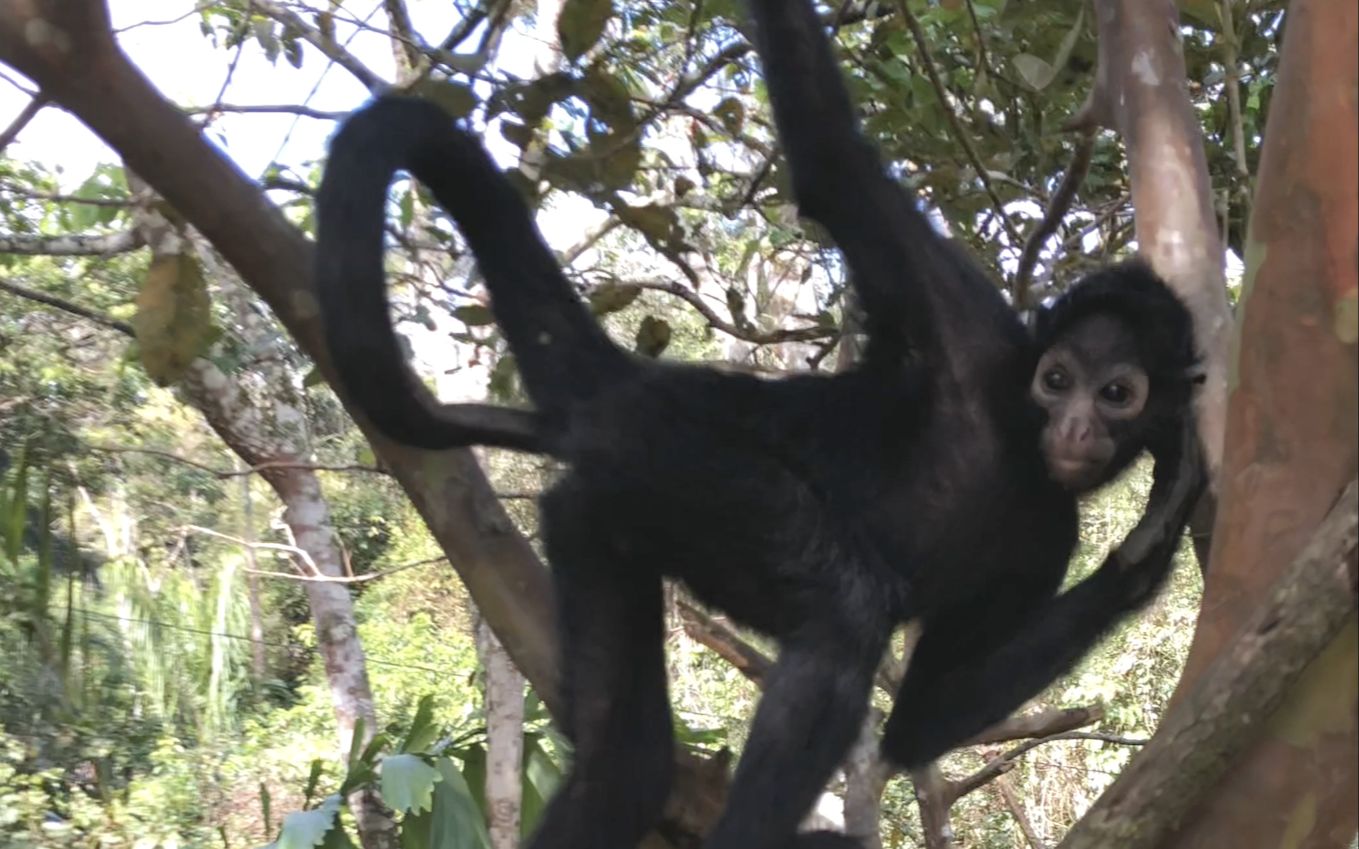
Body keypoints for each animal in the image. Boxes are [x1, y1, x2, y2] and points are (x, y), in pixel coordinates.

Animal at [312, 0, 1206, 842]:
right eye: (1057, 380)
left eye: (1115, 393)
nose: (1075, 426)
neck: (1017, 449)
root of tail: (647, 385)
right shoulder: (971, 328)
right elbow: (827, 158)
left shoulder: (1049, 530)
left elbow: (919, 721)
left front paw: (1148, 546)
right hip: (690, 463)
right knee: (843, 611)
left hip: (607, 504)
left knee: (626, 763)